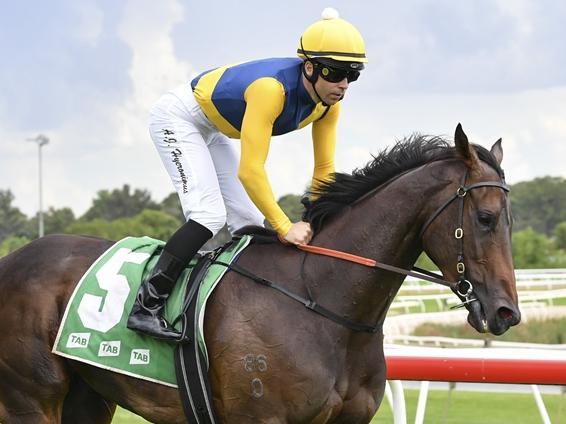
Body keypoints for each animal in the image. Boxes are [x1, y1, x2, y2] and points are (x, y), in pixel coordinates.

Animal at [0, 124, 524, 422]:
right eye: (485, 218)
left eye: (511, 219)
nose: (506, 312)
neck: (324, 303)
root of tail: (12, 260)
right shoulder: (261, 419)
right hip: (31, 400)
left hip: (88, 398)